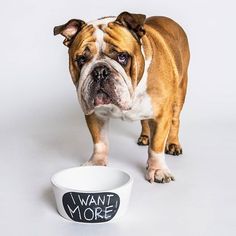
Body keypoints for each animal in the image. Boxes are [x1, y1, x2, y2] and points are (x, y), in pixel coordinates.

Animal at [53, 12, 190, 183]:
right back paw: (145, 137)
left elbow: (156, 146)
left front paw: (158, 169)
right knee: (144, 121)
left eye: (122, 57)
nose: (100, 71)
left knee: (175, 120)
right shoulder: (95, 115)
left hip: (180, 92)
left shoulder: (161, 114)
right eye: (81, 59)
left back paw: (173, 144)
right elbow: (99, 142)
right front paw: (96, 163)